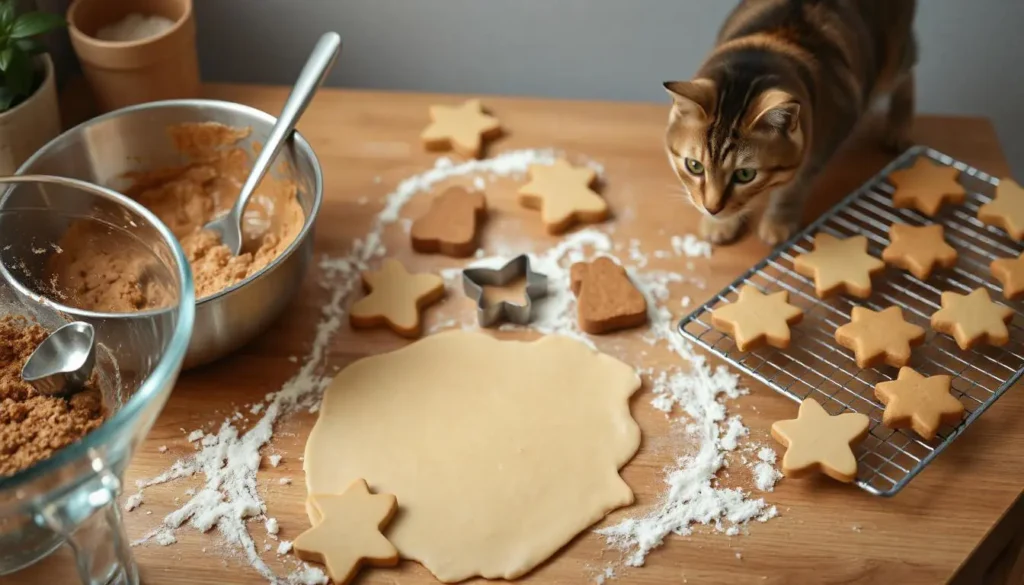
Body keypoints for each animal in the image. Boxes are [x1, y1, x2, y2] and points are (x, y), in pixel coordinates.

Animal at [667, 0, 917, 244]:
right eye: (694, 166)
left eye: (745, 175)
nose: (712, 208)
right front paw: (720, 224)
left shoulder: (824, 144)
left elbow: (792, 189)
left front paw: (778, 223)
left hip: (893, 58)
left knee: (908, 72)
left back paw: (899, 129)